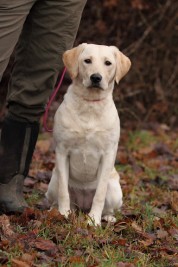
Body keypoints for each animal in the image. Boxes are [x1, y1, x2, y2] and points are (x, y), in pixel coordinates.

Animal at [46, 44, 131, 226]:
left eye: (108, 63)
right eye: (87, 61)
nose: (96, 77)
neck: (90, 104)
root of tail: (82, 206)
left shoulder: (108, 154)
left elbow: (99, 194)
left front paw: (93, 220)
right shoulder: (62, 151)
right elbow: (63, 191)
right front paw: (63, 214)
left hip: (115, 189)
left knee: (107, 204)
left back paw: (107, 217)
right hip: (53, 182)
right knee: (59, 195)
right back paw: (57, 211)